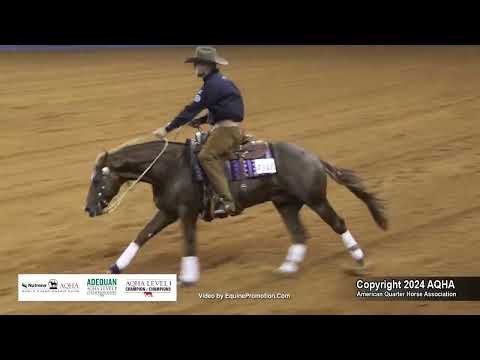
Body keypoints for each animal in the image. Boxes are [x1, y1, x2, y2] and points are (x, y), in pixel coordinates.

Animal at [84, 136, 388, 286]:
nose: (88, 209)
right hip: (286, 204)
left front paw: (189, 277)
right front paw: (115, 268)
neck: (172, 167)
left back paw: (359, 261)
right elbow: (142, 235)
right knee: (300, 234)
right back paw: (287, 268)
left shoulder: (186, 212)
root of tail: (314, 157)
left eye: (97, 179)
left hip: (316, 200)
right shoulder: (168, 212)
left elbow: (188, 242)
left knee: (338, 223)